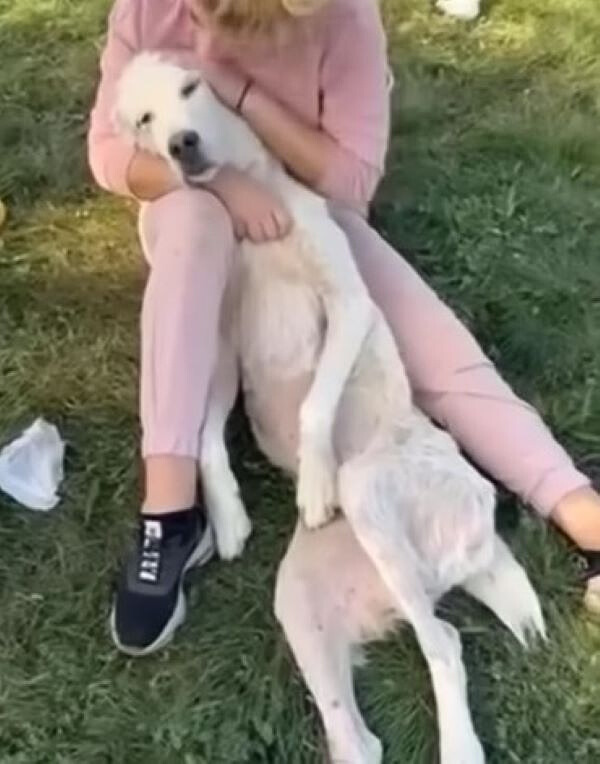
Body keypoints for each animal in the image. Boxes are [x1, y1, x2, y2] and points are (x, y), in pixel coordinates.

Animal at [115, 55, 548, 764]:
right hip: (301, 604)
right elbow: (204, 436)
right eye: (144, 120)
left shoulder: (348, 305)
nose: (180, 144)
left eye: (192, 87)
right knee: (364, 734)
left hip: (369, 490)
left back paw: (460, 745)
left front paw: (313, 484)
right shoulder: (223, 350)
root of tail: (476, 547)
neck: (256, 207)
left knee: (444, 644)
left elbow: (316, 403)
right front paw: (229, 518)